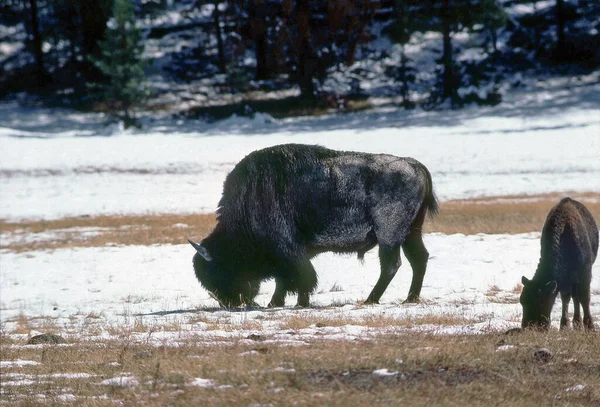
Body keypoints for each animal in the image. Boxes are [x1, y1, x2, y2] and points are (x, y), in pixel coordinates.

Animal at [190, 143, 438, 306]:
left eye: (218, 269)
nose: (229, 303)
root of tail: (414, 165)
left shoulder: (288, 251)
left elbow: (297, 278)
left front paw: (288, 303)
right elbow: (289, 279)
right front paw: (286, 302)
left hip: (389, 235)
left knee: (391, 265)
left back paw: (370, 300)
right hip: (411, 233)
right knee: (419, 259)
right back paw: (409, 299)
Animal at [516, 198, 596, 332]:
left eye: (541, 301)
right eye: (522, 300)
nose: (528, 325)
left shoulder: (585, 272)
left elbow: (584, 298)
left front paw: (590, 326)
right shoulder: (566, 279)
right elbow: (566, 298)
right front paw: (564, 325)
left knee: (578, 297)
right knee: (574, 297)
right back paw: (576, 323)